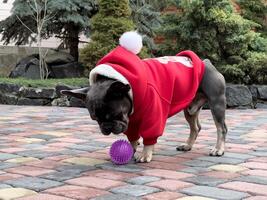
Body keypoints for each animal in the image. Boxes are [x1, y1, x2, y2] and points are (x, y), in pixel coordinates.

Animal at [61, 31, 228, 162]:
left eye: (115, 115)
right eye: (95, 119)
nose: (106, 127)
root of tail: (206, 63)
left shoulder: (153, 115)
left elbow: (149, 135)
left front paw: (145, 154)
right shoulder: (131, 119)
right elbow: (133, 136)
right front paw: (132, 149)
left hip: (216, 104)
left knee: (221, 128)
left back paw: (218, 149)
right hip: (190, 109)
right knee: (195, 127)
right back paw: (187, 146)